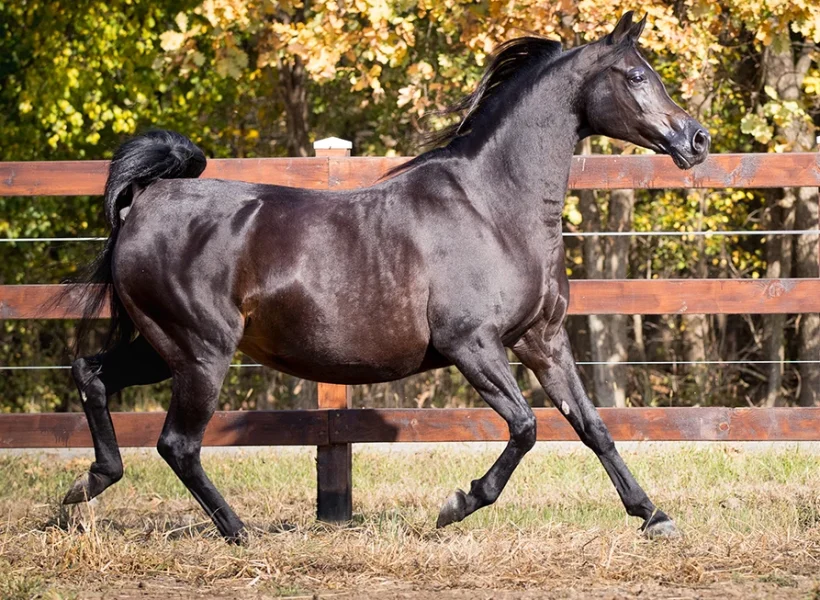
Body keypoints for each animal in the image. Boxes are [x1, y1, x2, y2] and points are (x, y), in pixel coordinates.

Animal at [62, 12, 709, 543]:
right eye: (635, 76)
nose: (696, 139)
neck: (494, 206)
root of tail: (146, 202)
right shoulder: (472, 344)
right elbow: (526, 427)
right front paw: (456, 504)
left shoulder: (542, 340)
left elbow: (593, 426)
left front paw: (654, 516)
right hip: (201, 352)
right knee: (178, 443)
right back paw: (238, 532)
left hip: (162, 347)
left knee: (92, 376)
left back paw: (80, 494)